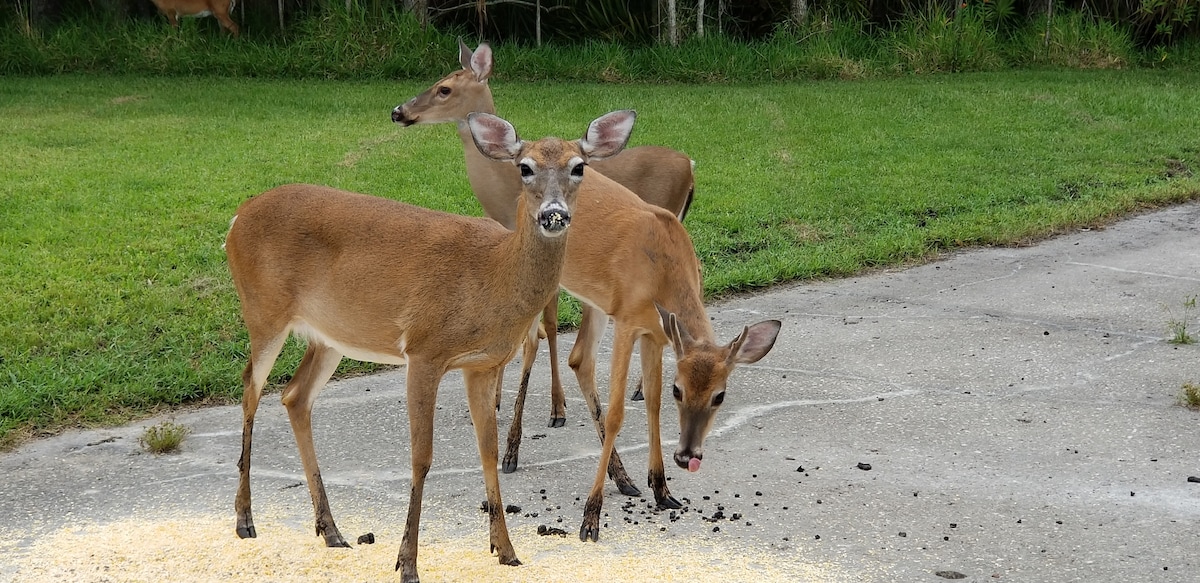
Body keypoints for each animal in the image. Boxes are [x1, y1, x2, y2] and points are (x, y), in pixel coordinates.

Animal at [224, 110, 638, 583]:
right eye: (525, 167)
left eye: (579, 167)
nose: (554, 215)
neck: (494, 275)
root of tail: (236, 217)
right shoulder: (423, 350)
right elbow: (421, 457)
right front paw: (407, 563)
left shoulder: (480, 364)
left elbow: (488, 451)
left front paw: (505, 549)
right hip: (263, 311)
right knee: (250, 389)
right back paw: (245, 519)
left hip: (328, 336)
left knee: (294, 396)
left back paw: (330, 530)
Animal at [393, 38, 696, 489]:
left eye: (444, 88)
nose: (399, 111)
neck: (504, 198)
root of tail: (691, 165)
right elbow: (540, 328)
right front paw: (507, 400)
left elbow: (540, 332)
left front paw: (540, 421)